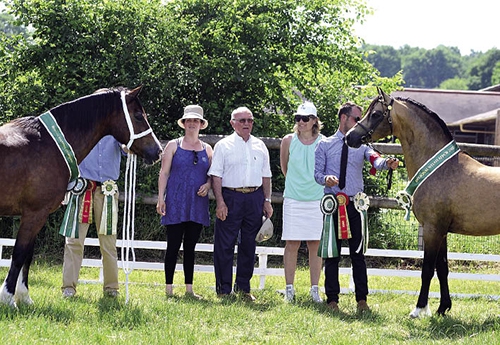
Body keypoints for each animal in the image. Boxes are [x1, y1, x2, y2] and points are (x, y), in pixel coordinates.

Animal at [0, 86, 161, 306]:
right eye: (138, 115)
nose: (158, 151)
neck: (47, 143)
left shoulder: (34, 216)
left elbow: (28, 256)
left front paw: (24, 297)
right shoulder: (35, 214)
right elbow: (18, 254)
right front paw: (8, 298)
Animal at [346, 86, 500, 318]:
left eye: (375, 114)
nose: (349, 137)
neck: (439, 169)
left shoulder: (432, 229)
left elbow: (427, 270)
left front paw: (419, 308)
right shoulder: (441, 231)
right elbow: (443, 269)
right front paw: (442, 308)